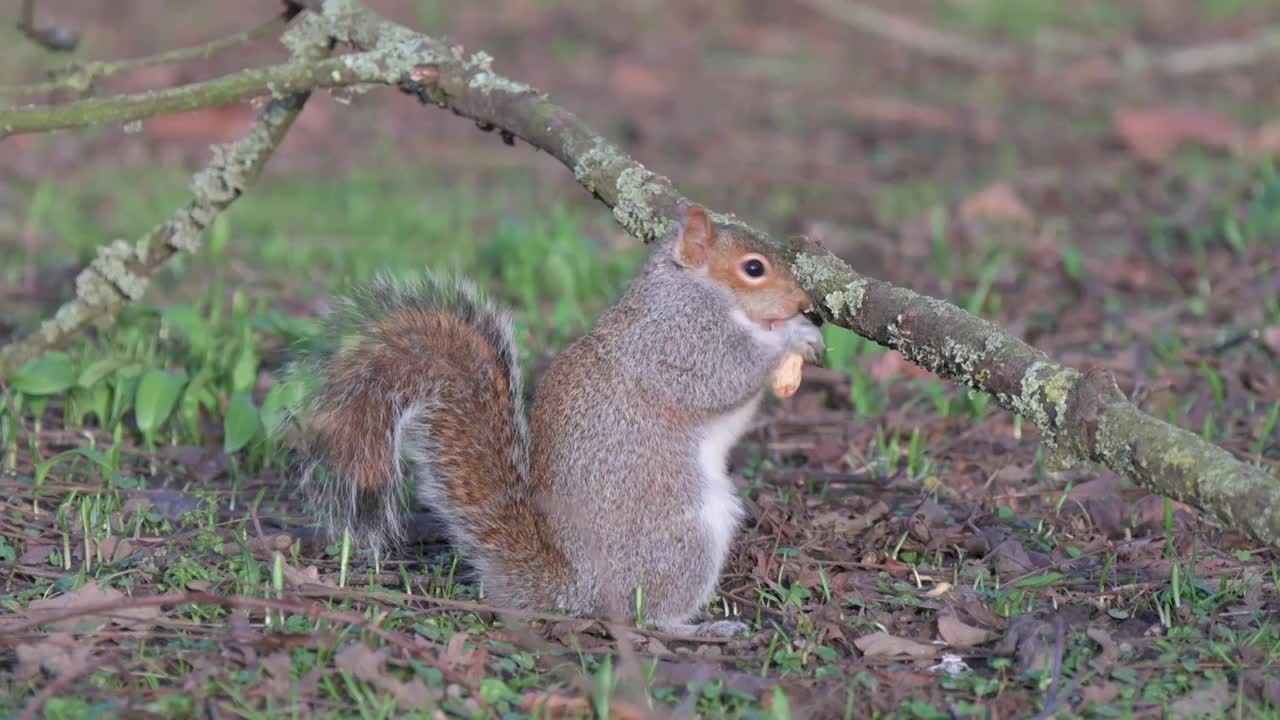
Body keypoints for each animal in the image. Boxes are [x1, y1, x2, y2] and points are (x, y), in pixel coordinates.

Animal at [291, 206, 824, 632]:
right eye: (753, 268)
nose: (805, 303)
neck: (692, 289)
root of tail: (575, 589)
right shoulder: (679, 343)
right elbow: (726, 375)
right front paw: (792, 337)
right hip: (684, 538)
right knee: (645, 615)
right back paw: (698, 628)